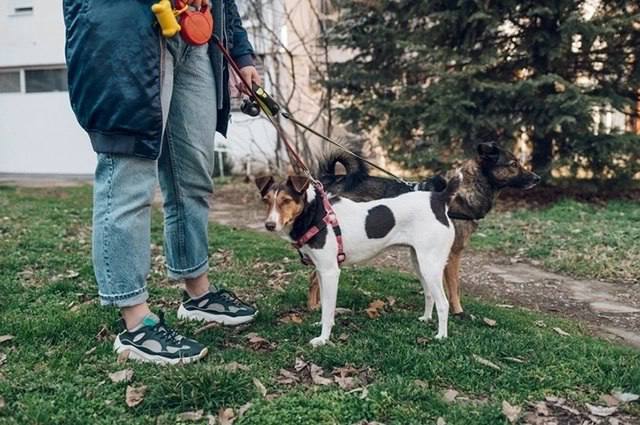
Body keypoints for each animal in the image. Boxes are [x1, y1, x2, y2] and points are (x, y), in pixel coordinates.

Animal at [254, 174, 460, 346]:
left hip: (430, 266)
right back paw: (426, 319)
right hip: (419, 263)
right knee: (430, 294)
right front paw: (320, 325)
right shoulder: (321, 271)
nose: (269, 225)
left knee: (443, 303)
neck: (315, 213)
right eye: (266, 200)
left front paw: (323, 339)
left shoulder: (330, 272)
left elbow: (328, 309)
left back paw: (441, 336)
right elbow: (324, 305)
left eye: (286, 200)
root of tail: (439, 200)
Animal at [310, 142, 540, 314]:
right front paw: (459, 312)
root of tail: (331, 179)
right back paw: (315, 307)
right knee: (314, 277)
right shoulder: (453, 254)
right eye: (513, 164)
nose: (537, 178)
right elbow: (454, 286)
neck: (464, 190)